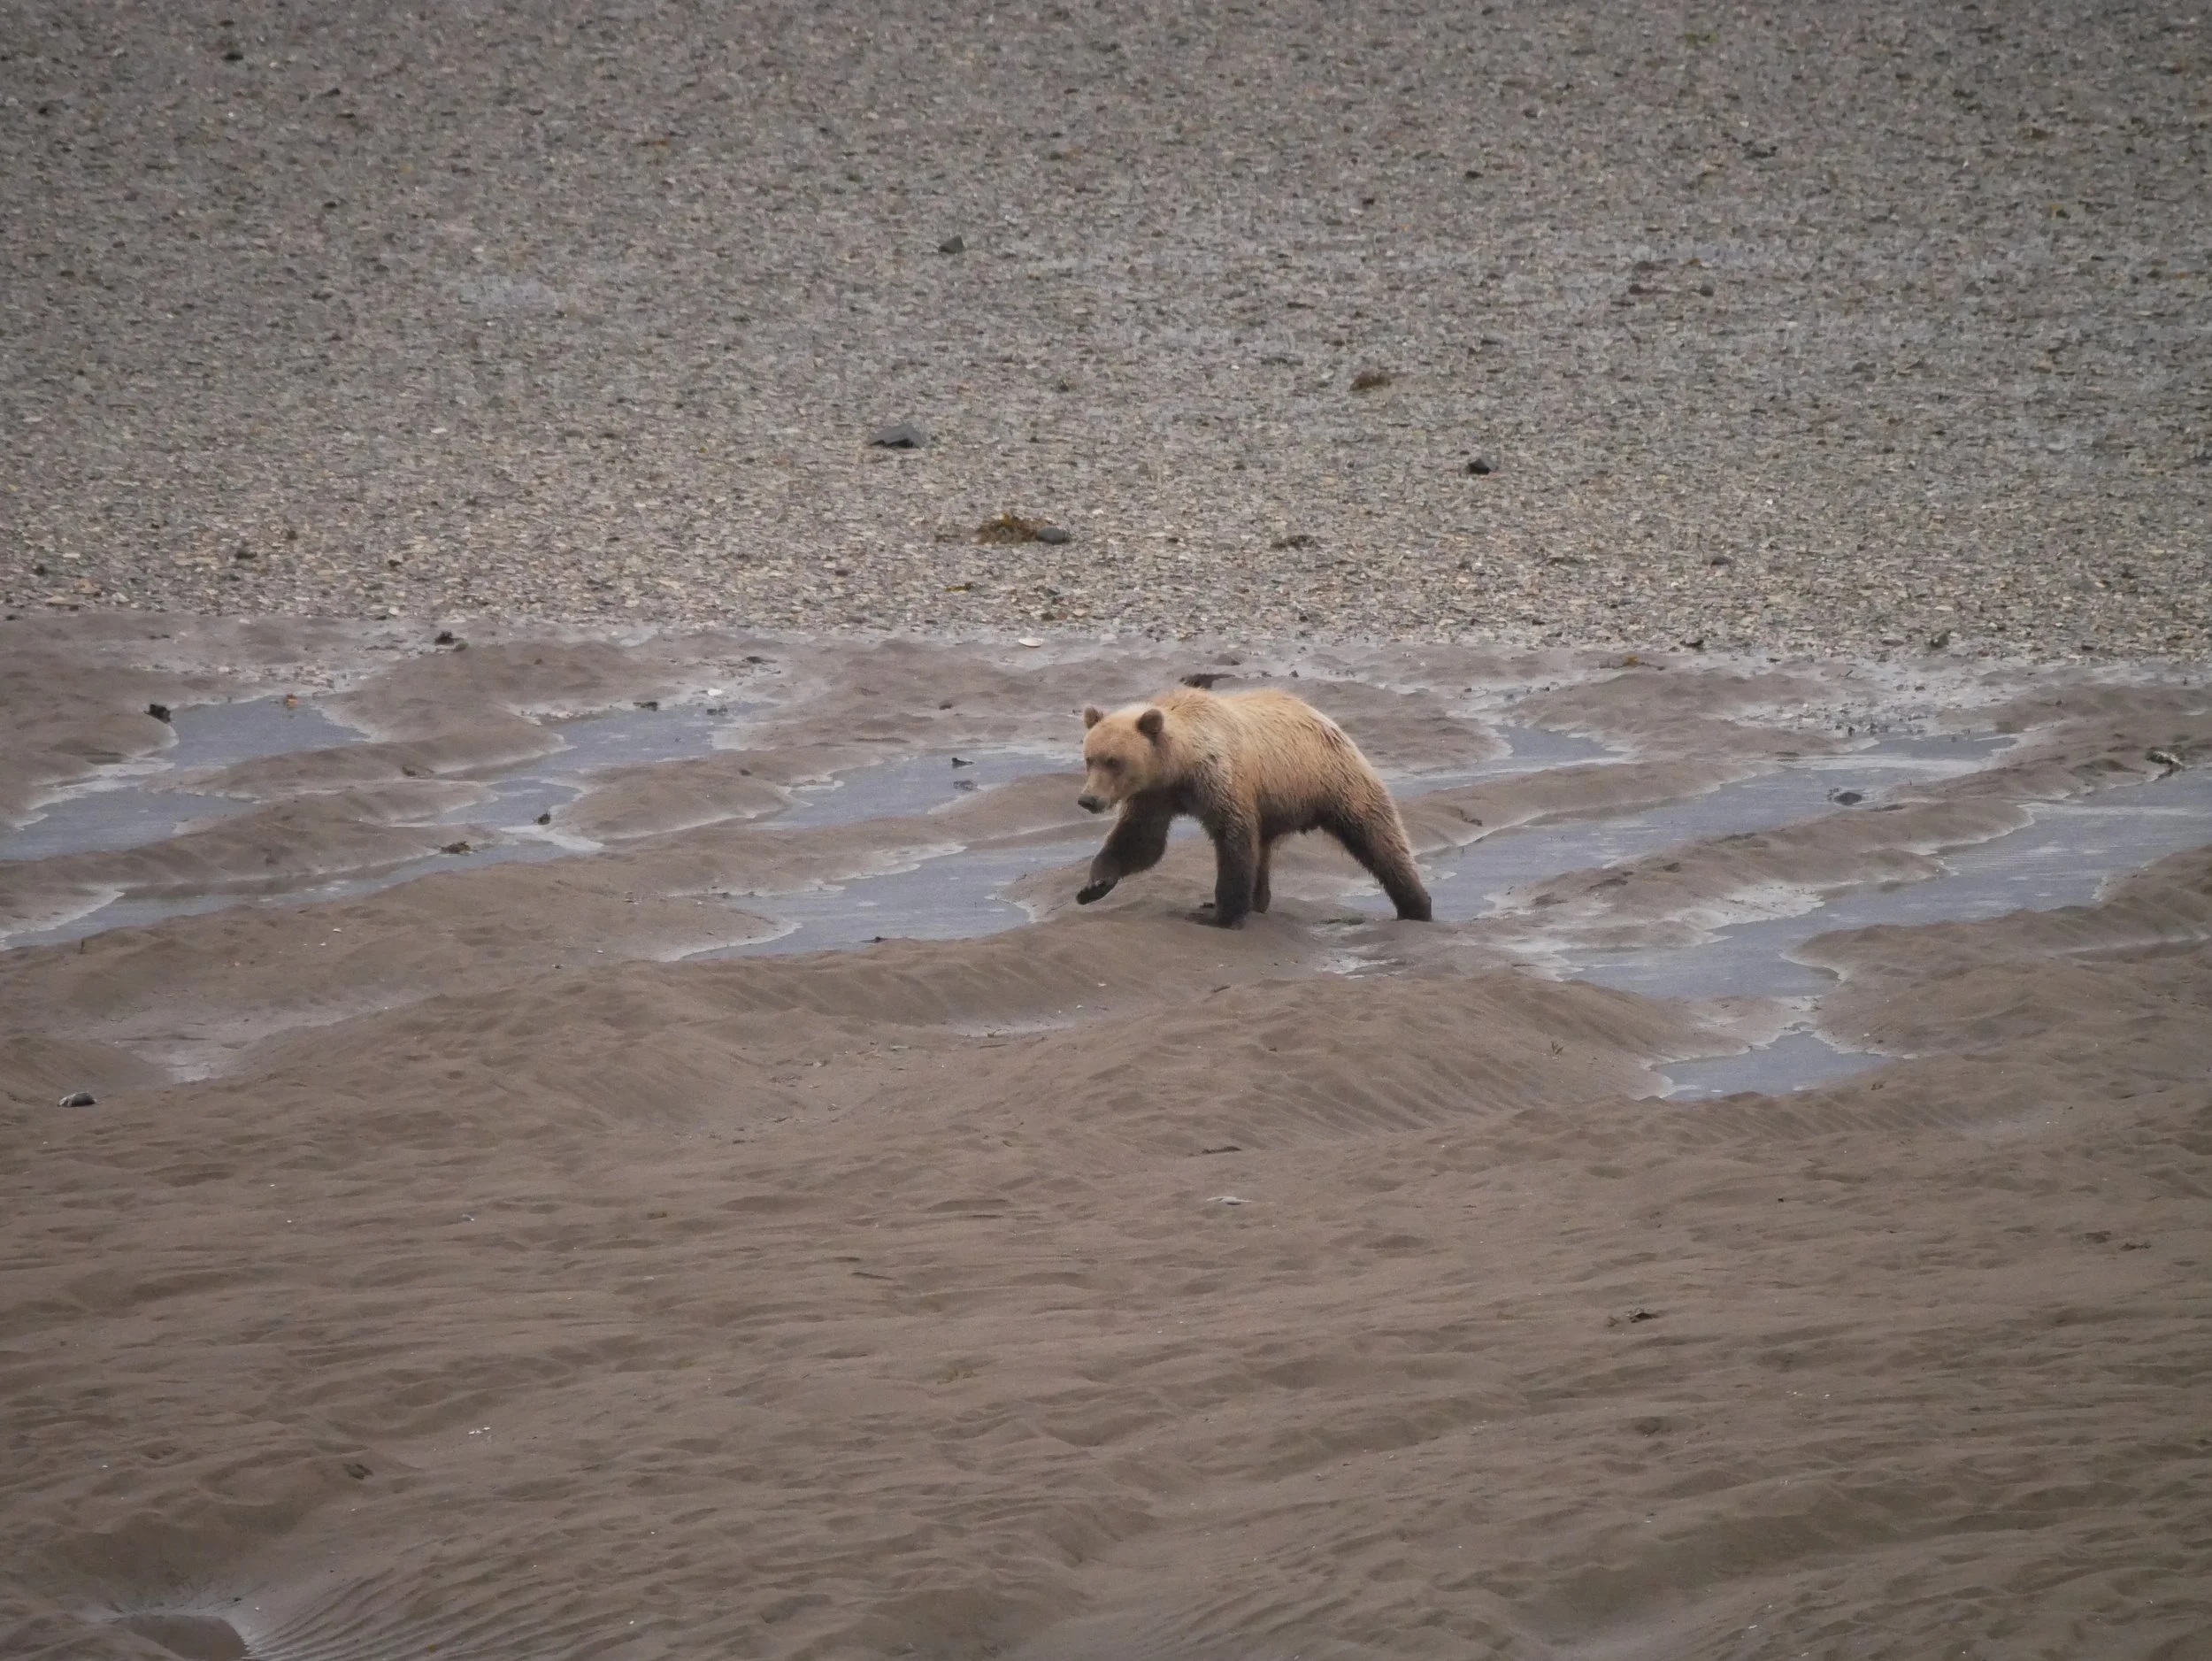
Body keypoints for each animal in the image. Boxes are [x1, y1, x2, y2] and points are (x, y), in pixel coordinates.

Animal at [1075, 685, 1432, 928]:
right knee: (1264, 849)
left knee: (1378, 838)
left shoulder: (1220, 781)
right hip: (1277, 804)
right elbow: (1140, 841)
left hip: (1334, 781)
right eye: (1090, 758)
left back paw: (1417, 906)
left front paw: (1221, 914)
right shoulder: (1156, 796)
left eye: (1114, 761)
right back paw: (1259, 901)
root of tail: (1330, 722)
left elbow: (1234, 840)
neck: (1180, 765)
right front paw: (1094, 885)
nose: (1088, 800)